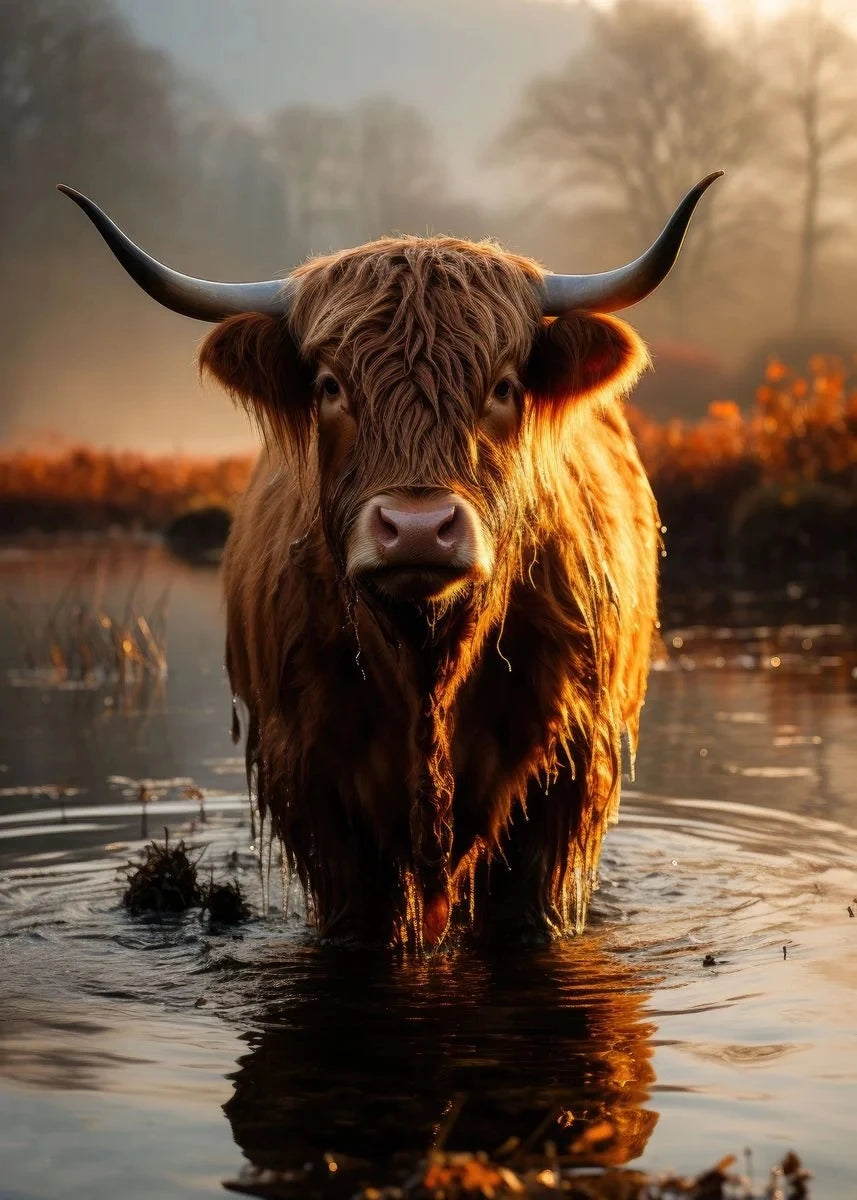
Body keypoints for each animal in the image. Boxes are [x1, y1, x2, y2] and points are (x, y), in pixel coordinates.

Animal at [60, 173, 721, 949]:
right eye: (330, 386)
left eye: (502, 386)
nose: (416, 529)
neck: (427, 660)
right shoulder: (315, 784)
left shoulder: (560, 773)